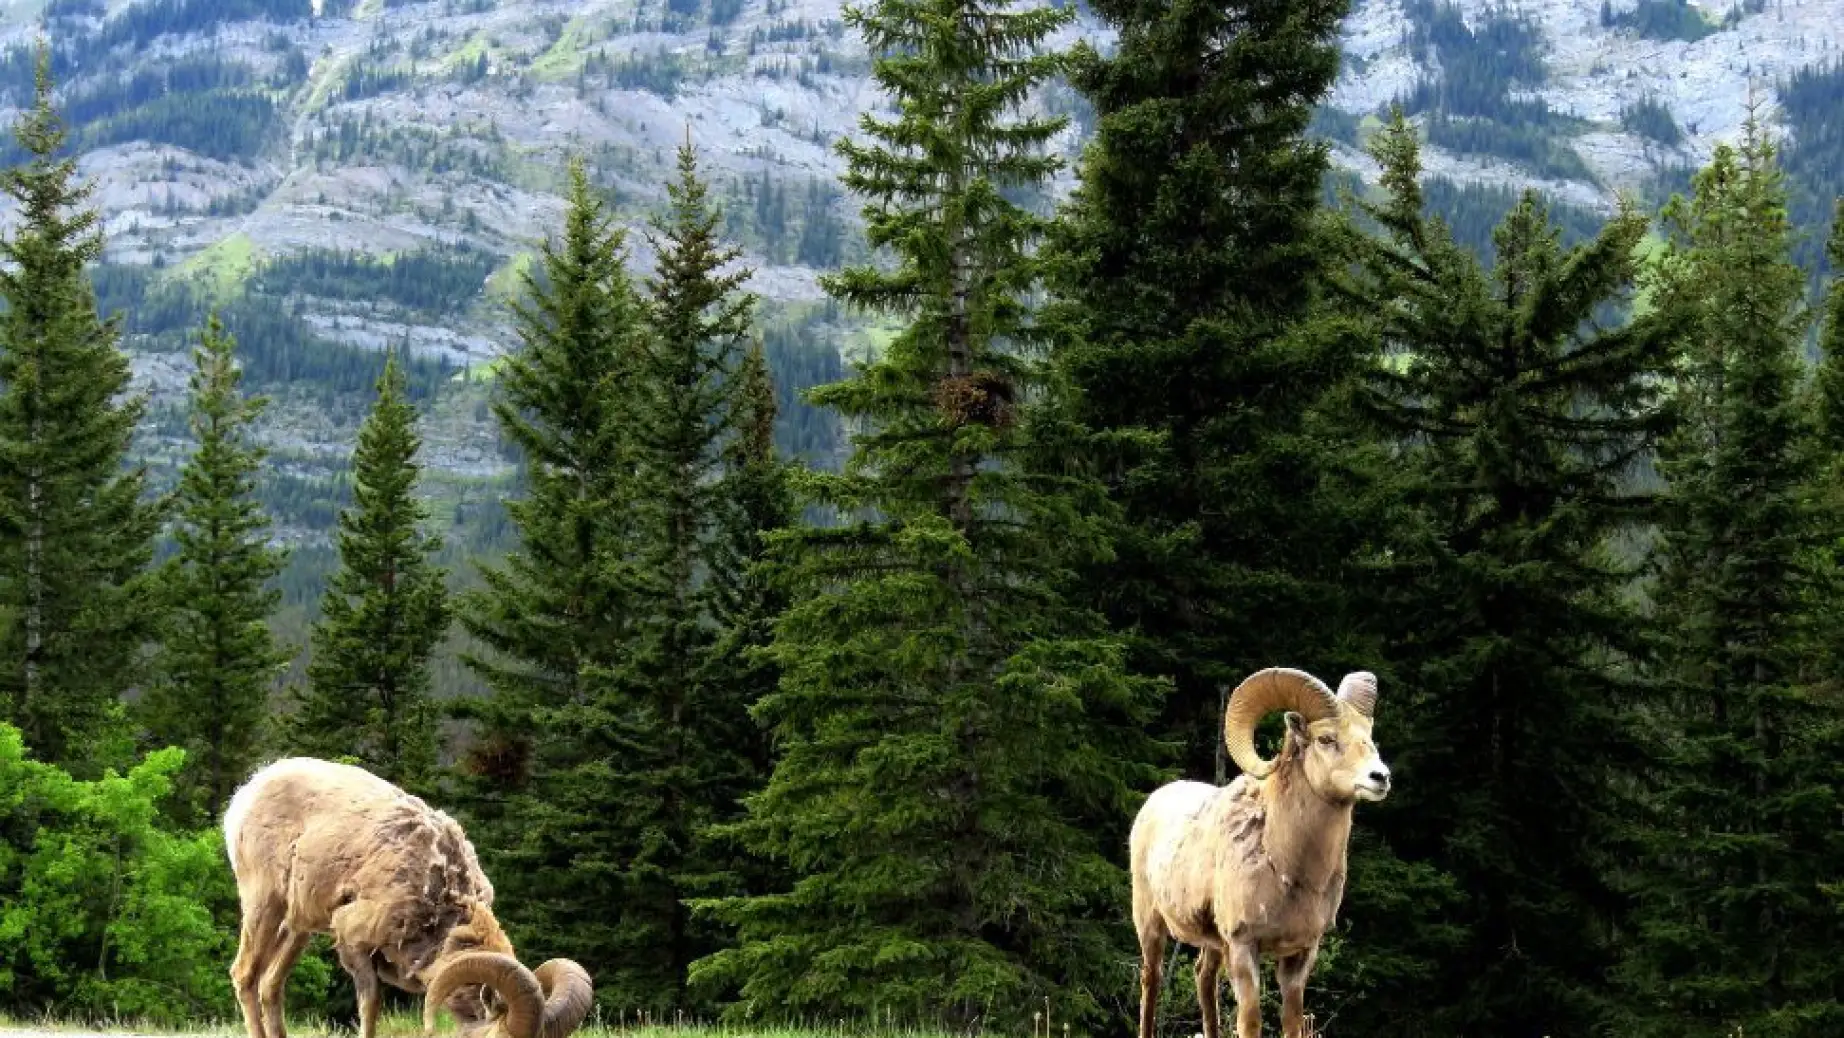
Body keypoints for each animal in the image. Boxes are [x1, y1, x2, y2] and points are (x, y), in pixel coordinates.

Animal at [222, 757, 594, 1038]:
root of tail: (248, 792)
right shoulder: (354, 941)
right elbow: (371, 1006)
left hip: (298, 927)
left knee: (271, 985)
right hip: (264, 906)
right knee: (245, 975)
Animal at [1129, 667, 1391, 1038]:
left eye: (1368, 736)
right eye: (1326, 739)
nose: (1380, 777)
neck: (1287, 867)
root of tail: (1152, 803)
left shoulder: (1300, 955)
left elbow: (1292, 1022)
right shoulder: (1243, 947)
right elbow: (1250, 1023)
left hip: (1213, 944)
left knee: (1203, 978)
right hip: (1150, 924)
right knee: (1151, 981)